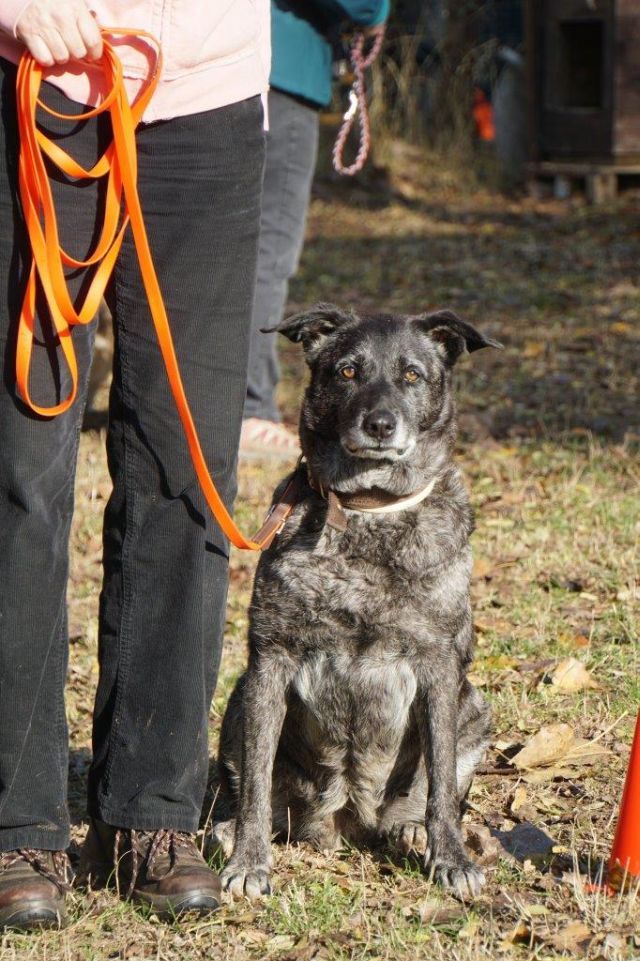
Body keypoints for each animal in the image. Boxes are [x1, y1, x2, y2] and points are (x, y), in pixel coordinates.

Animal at [215, 306, 500, 900]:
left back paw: (412, 831)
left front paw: (450, 857)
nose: (380, 424)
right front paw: (248, 861)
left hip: (475, 709)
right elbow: (254, 781)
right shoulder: (270, 662)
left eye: (412, 375)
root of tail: (346, 821)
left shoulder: (439, 671)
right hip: (238, 701)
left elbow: (441, 783)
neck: (367, 511)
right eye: (348, 371)